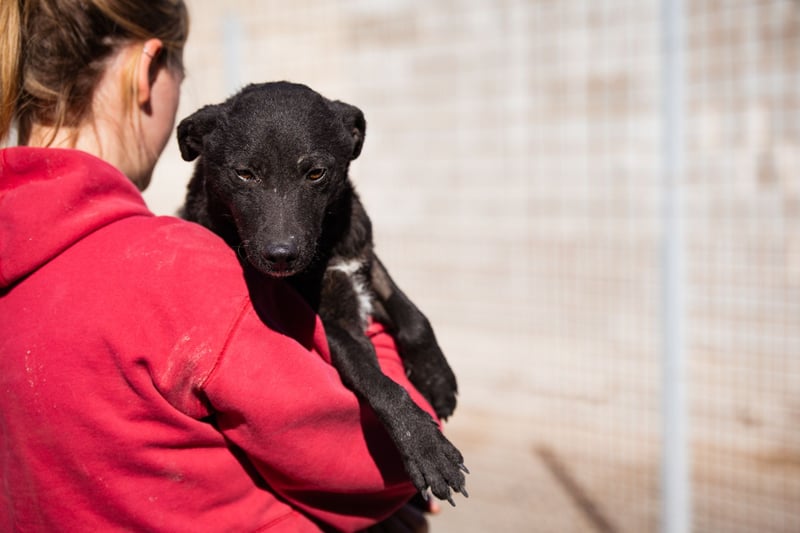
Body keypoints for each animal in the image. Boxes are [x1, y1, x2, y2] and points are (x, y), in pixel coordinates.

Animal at [177, 82, 467, 504]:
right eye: (244, 174)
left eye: (315, 173)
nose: (281, 255)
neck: (327, 245)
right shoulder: (329, 323)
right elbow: (377, 379)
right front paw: (424, 445)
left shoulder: (364, 262)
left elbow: (415, 318)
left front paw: (437, 379)